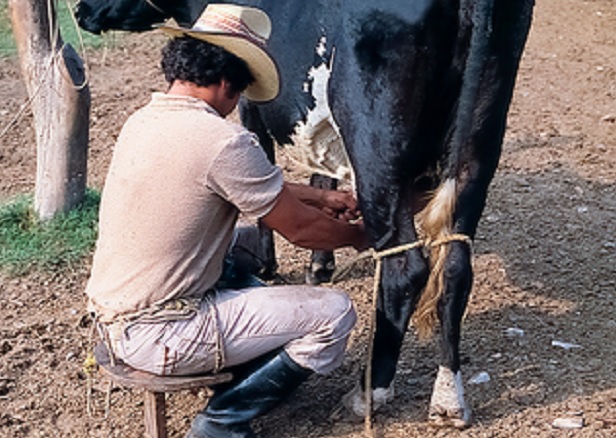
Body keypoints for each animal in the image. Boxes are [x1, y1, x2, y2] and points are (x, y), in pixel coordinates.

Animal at [76, 0, 536, 430]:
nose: (80, 10)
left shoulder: (250, 103)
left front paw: (271, 264)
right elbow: (321, 174)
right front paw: (320, 265)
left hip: (375, 144)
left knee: (405, 269)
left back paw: (369, 392)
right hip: (480, 138)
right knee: (456, 264)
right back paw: (448, 396)